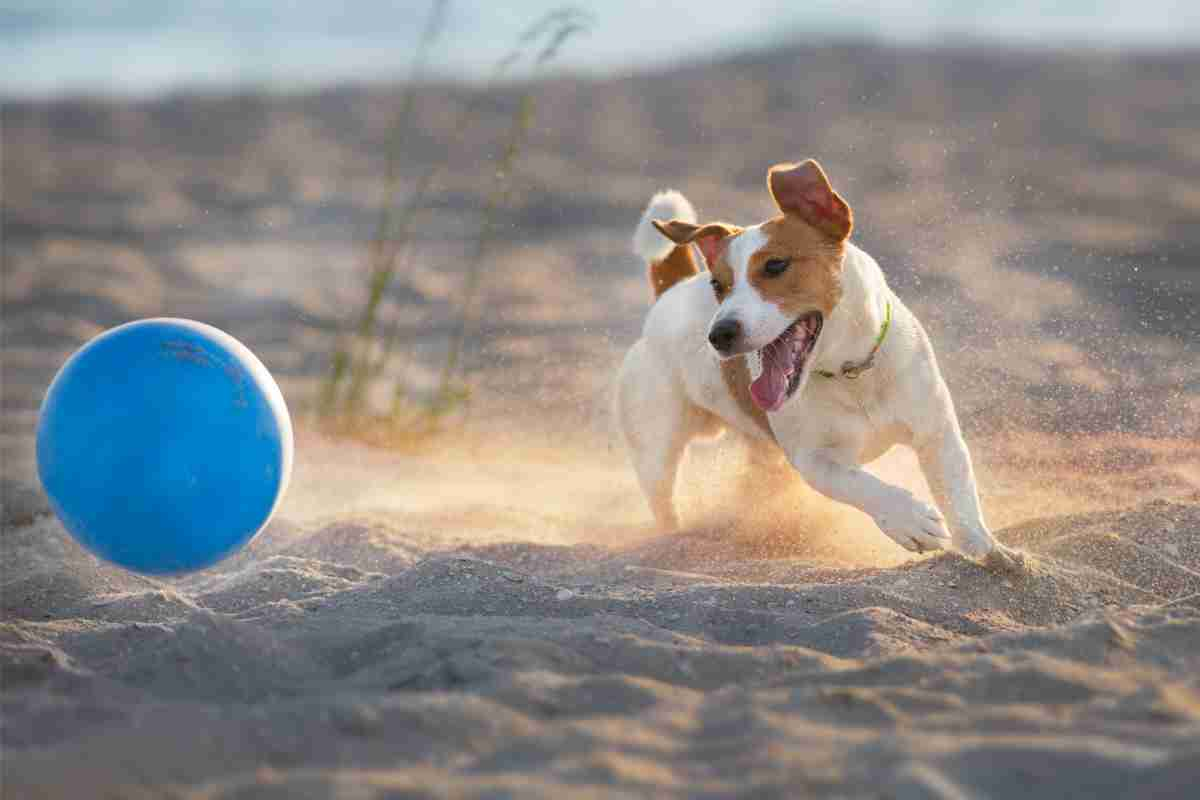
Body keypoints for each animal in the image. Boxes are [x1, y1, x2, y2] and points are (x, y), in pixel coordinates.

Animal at [619, 159, 1012, 566]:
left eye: (776, 265)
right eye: (717, 284)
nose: (719, 335)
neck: (850, 374)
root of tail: (668, 296)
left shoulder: (937, 432)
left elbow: (960, 498)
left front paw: (990, 552)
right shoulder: (814, 460)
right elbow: (860, 483)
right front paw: (909, 519)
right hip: (656, 448)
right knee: (664, 500)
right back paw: (678, 537)